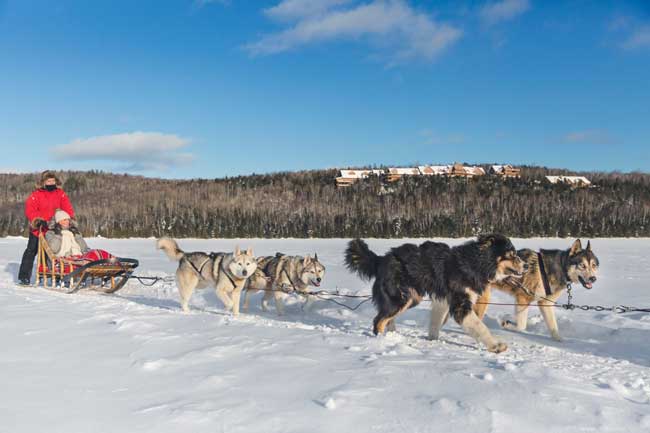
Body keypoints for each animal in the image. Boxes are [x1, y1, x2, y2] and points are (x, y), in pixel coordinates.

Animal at [344, 235, 520, 352]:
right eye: (511, 255)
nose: (524, 265)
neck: (474, 263)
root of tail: (381, 259)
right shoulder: (460, 305)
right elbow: (479, 326)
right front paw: (496, 346)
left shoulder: (443, 300)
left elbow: (436, 323)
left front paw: (432, 340)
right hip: (401, 298)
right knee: (378, 320)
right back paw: (382, 341)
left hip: (411, 297)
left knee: (386, 318)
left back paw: (393, 335)